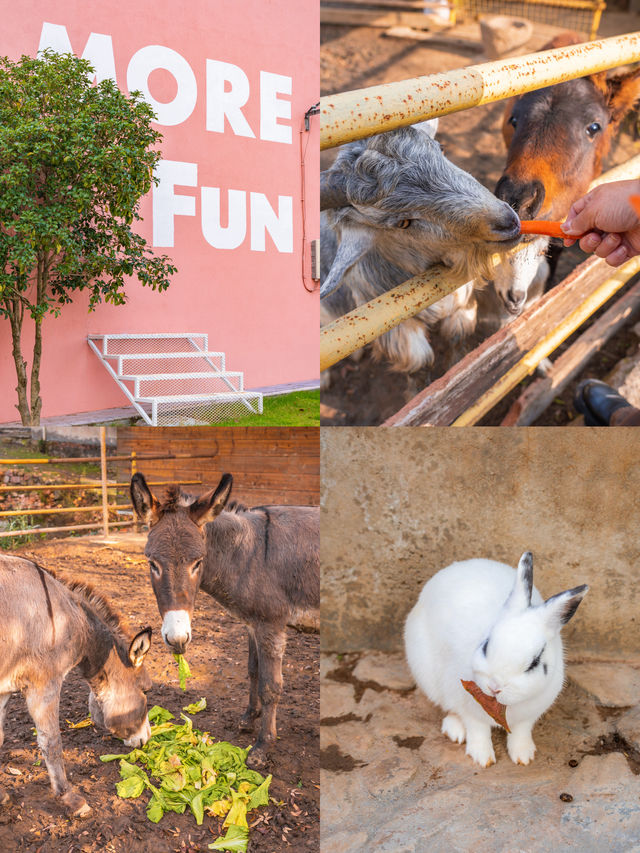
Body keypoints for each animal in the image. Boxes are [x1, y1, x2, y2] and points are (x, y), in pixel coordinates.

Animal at [404, 552, 592, 764]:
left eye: (534, 663)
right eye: (485, 645)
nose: (495, 687)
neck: (502, 706)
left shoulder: (527, 718)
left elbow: (520, 733)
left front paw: (524, 757)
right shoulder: (469, 710)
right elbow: (478, 731)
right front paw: (482, 757)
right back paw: (455, 731)